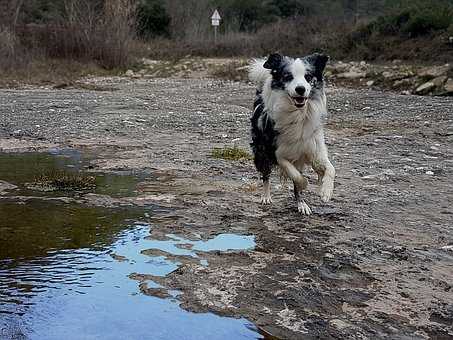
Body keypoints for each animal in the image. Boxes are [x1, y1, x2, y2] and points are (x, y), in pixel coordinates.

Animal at [247, 51, 336, 214]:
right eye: (288, 76)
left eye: (308, 76)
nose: (300, 89)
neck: (298, 114)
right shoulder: (277, 153)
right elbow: (296, 176)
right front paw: (305, 184)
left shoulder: (314, 149)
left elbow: (330, 169)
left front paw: (325, 191)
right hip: (261, 151)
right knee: (266, 175)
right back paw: (266, 196)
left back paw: (302, 204)